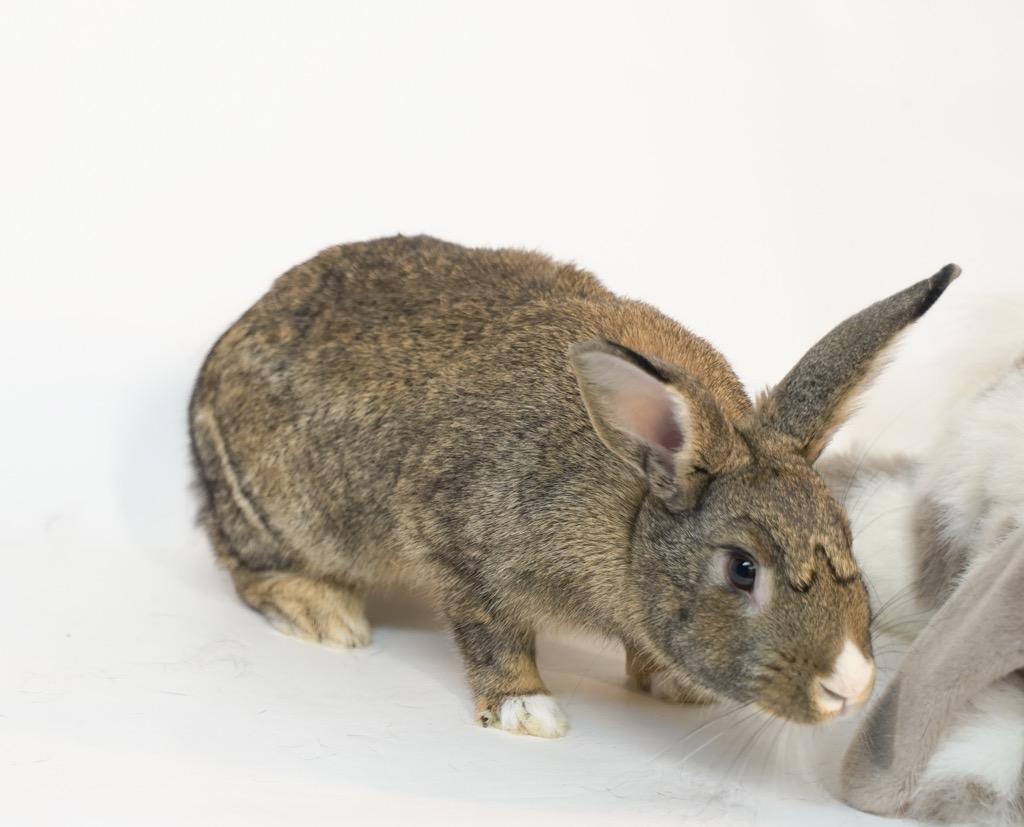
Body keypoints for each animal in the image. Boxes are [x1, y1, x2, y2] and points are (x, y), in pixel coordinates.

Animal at [189, 234, 959, 737]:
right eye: (743, 568)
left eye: (846, 535)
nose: (851, 687)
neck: (637, 506)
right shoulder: (458, 540)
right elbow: (492, 631)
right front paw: (528, 711)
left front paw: (672, 684)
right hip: (282, 511)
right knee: (247, 564)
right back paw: (326, 616)